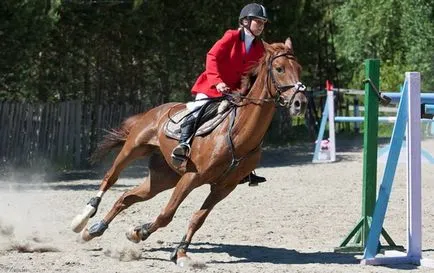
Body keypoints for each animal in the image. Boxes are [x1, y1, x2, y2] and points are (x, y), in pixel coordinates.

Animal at [72, 37, 308, 264]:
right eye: (279, 68)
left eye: (299, 68)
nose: (300, 103)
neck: (238, 133)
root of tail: (155, 111)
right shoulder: (191, 177)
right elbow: (167, 214)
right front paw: (142, 232)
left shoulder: (224, 187)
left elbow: (198, 218)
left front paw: (176, 251)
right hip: (133, 150)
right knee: (110, 178)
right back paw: (83, 219)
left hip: (163, 177)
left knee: (127, 197)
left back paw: (94, 230)